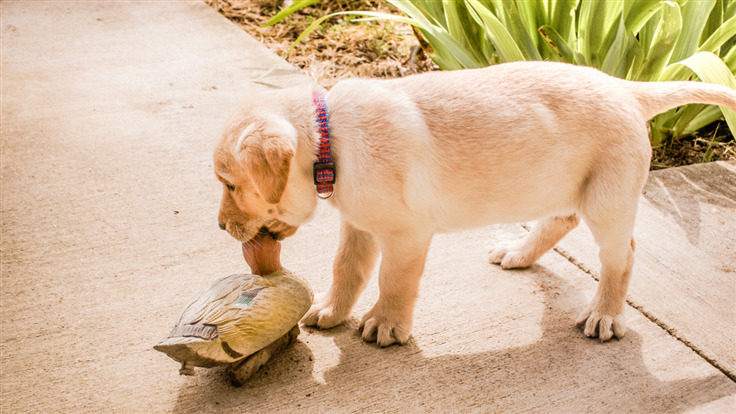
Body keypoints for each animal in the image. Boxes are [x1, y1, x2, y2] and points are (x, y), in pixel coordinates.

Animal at [213, 60, 736, 346]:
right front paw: (332, 309)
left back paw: (605, 313)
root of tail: (625, 86)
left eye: (230, 185)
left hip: (607, 200)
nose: (219, 227)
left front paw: (386, 324)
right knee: (560, 218)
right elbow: (348, 268)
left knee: (620, 255)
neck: (332, 138)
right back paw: (519, 253)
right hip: (558, 184)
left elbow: (392, 280)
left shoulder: (405, 234)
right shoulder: (358, 223)